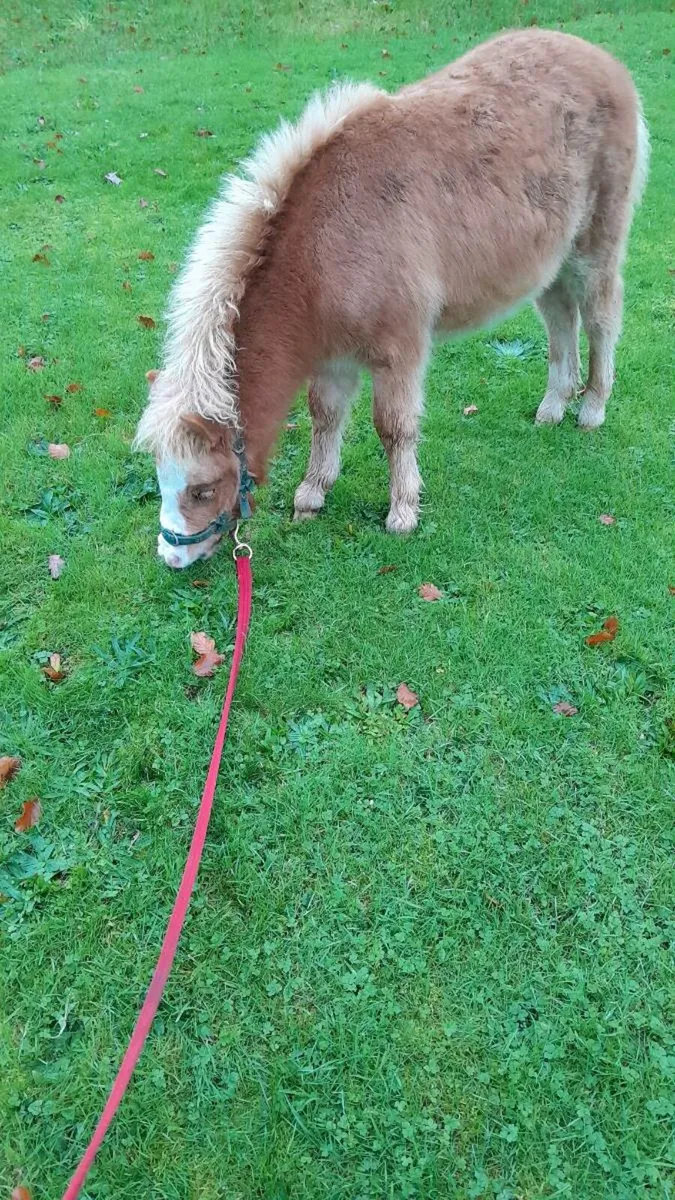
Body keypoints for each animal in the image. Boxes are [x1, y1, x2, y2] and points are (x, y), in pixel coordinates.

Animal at [134, 28, 648, 568]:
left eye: (203, 489)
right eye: (161, 480)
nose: (171, 558)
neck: (324, 245)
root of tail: (606, 62)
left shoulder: (399, 349)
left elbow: (394, 427)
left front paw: (402, 512)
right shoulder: (331, 357)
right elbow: (324, 415)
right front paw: (312, 494)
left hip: (596, 244)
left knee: (601, 316)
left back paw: (591, 409)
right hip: (549, 260)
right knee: (560, 318)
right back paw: (553, 406)